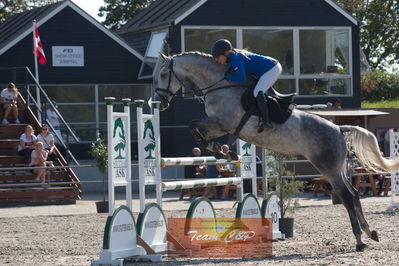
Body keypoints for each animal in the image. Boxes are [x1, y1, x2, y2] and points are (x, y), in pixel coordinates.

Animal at [155, 51, 399, 251]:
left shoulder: (221, 123)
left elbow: (194, 126)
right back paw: (370, 232)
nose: (159, 102)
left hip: (327, 167)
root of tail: (339, 128)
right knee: (355, 194)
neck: (219, 86)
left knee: (347, 196)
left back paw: (359, 240)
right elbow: (196, 129)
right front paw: (225, 153)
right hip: (336, 167)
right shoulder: (220, 126)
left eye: (163, 73)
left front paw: (220, 152)